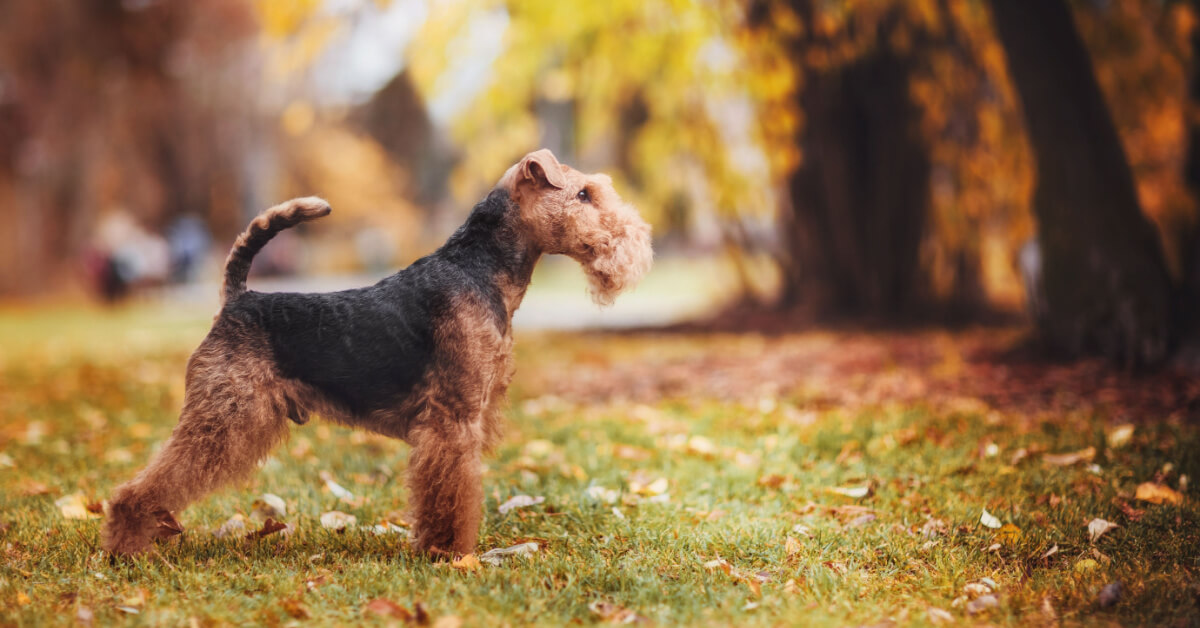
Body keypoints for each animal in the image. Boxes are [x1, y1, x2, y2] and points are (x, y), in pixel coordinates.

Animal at [103, 150, 652, 557]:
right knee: (145, 484)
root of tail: (237, 298)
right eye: (583, 194)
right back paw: (127, 546)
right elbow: (451, 493)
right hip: (225, 412)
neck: (477, 269)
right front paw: (449, 553)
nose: (639, 241)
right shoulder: (452, 419)